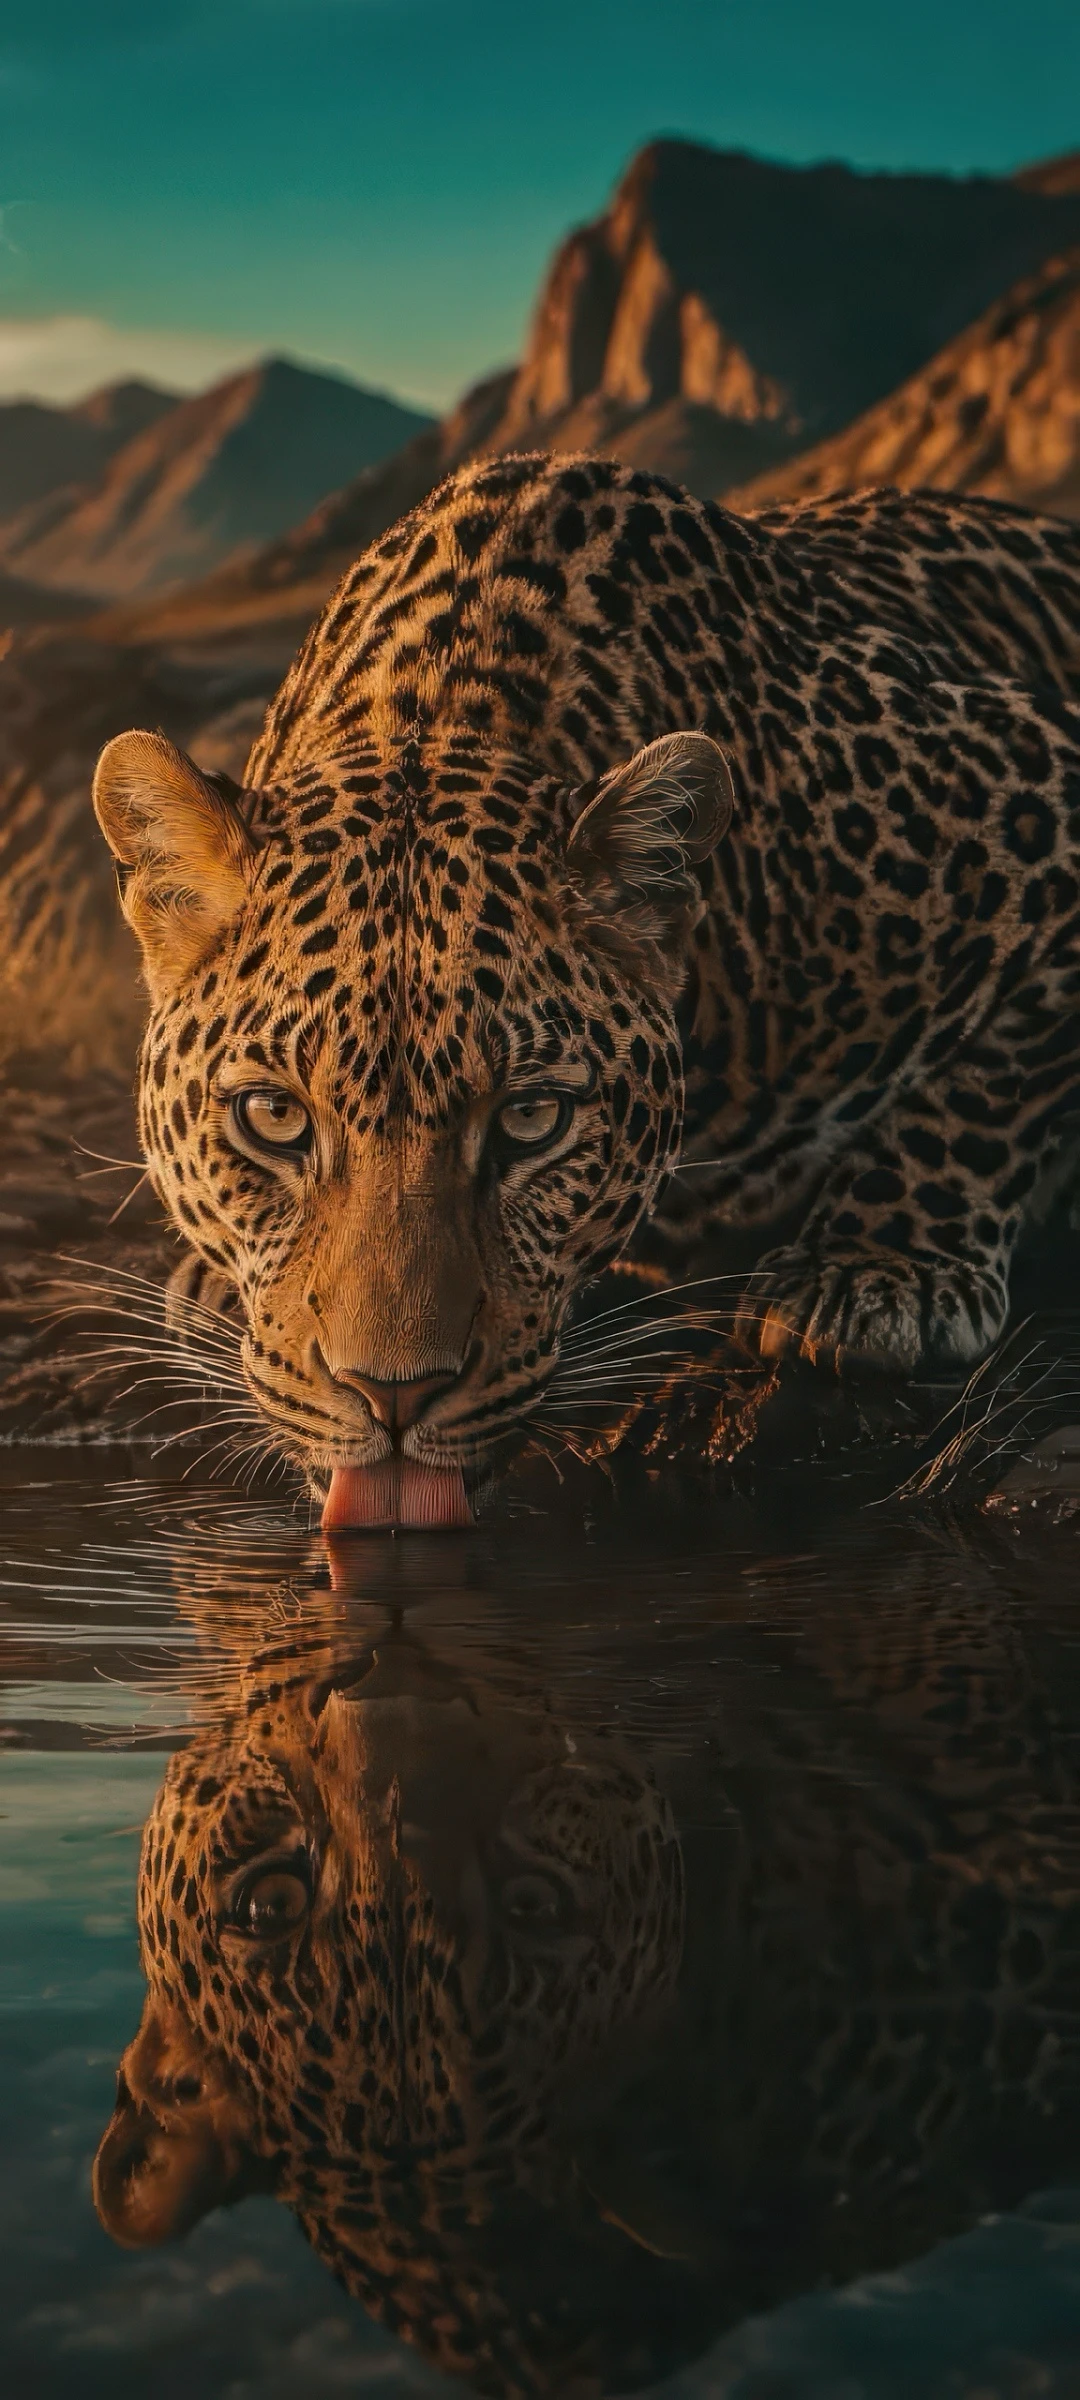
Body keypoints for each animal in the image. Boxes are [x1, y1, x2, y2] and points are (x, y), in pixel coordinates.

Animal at [90, 454, 1080, 1524]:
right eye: (273, 1117)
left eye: (532, 1120)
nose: (392, 1394)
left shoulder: (1034, 796)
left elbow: (983, 1094)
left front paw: (879, 1271)